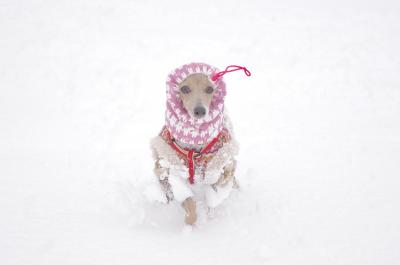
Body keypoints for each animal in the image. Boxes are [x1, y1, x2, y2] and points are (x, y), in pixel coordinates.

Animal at [150, 62, 250, 225]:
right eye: (184, 88)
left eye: (210, 89)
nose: (200, 111)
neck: (194, 145)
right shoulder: (171, 170)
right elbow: (189, 204)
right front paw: (190, 223)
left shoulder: (221, 169)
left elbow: (213, 194)